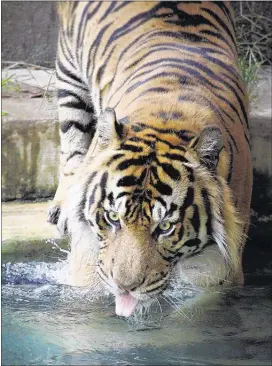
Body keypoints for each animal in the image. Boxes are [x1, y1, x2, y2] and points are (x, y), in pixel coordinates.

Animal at [47, 0, 253, 318]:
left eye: (165, 227)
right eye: (113, 217)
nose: (125, 286)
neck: (167, 120)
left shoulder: (220, 264)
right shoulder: (88, 249)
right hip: (69, 75)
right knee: (71, 140)